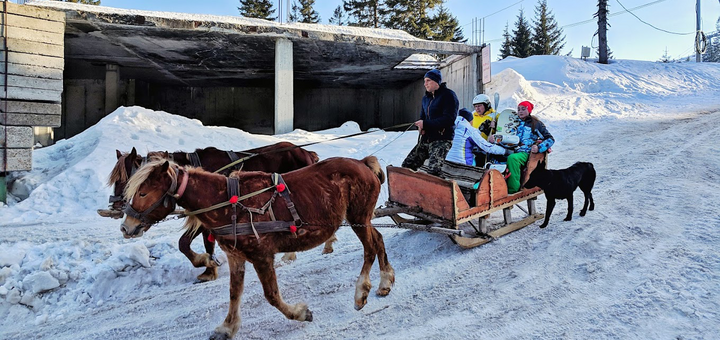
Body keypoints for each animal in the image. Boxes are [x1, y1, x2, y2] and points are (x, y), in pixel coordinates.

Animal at [106, 141, 334, 282]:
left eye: (128, 183)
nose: (116, 208)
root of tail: (306, 152)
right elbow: (205, 243)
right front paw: (209, 268)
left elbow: (186, 242)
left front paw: (205, 264)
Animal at [121, 157, 396, 340]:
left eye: (143, 193)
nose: (126, 227)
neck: (228, 204)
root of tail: (363, 163)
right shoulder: (235, 256)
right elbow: (234, 293)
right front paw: (227, 327)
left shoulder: (262, 256)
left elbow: (271, 295)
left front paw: (301, 313)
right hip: (362, 218)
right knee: (379, 239)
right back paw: (385, 282)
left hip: (358, 216)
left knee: (370, 248)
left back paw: (361, 292)